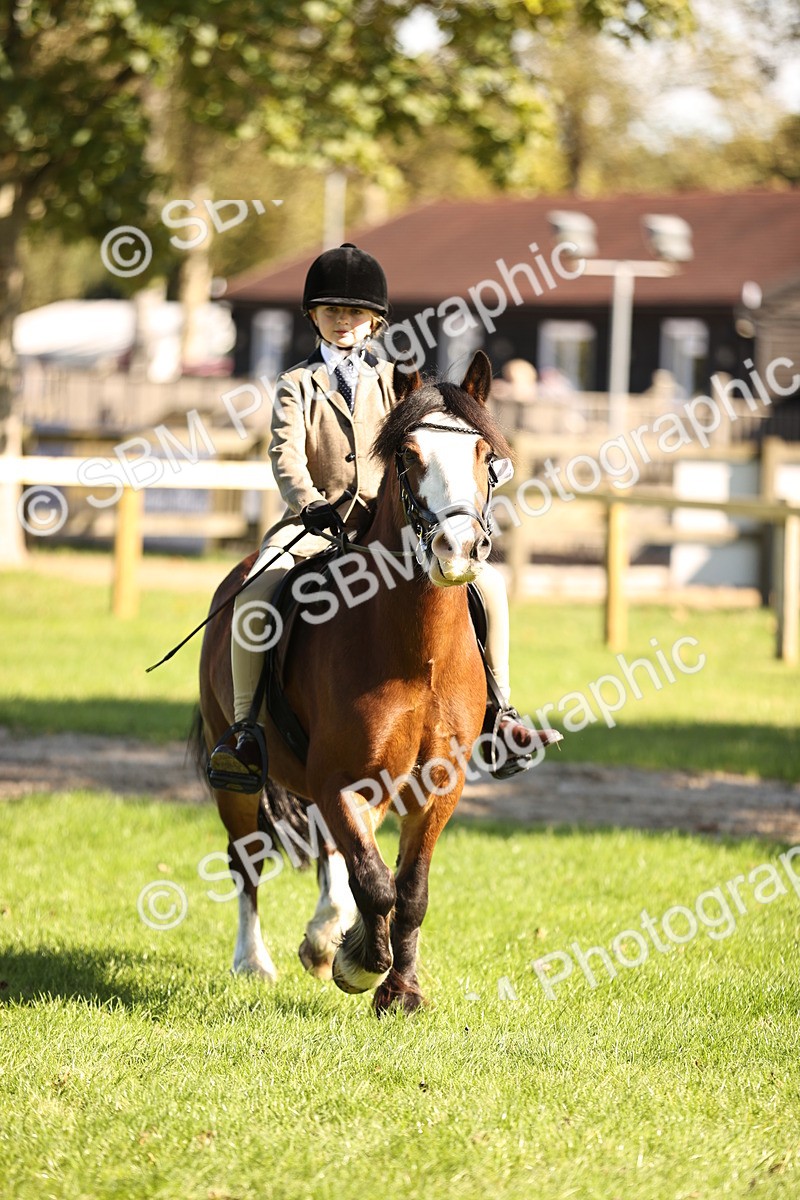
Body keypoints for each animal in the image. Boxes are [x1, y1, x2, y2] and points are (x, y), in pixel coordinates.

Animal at [195, 350, 515, 1015]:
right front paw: (360, 964)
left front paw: (399, 990)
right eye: (409, 455)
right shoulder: (338, 777)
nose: (459, 549)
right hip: (236, 774)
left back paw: (325, 934)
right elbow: (375, 881)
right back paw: (255, 962)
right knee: (248, 859)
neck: (414, 654)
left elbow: (409, 888)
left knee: (333, 853)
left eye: (483, 454)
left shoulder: (436, 785)